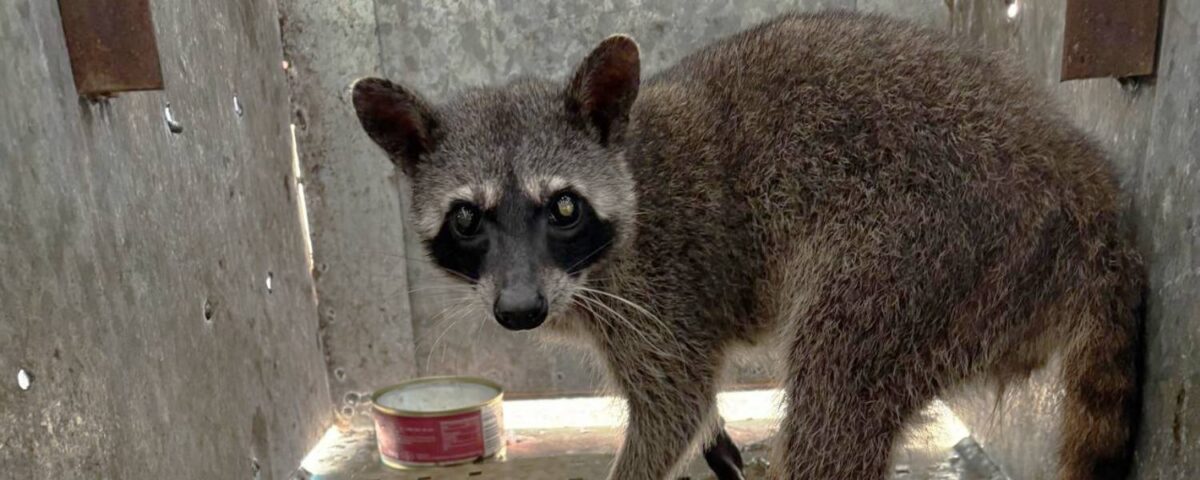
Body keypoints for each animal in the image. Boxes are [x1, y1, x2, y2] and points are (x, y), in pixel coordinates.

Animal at [352, 11, 1143, 480]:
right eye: (467, 219)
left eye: (564, 207)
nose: (518, 312)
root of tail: (1084, 179)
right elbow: (695, 409)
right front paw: (718, 442)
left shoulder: (662, 287)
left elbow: (674, 402)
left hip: (930, 250)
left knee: (838, 381)